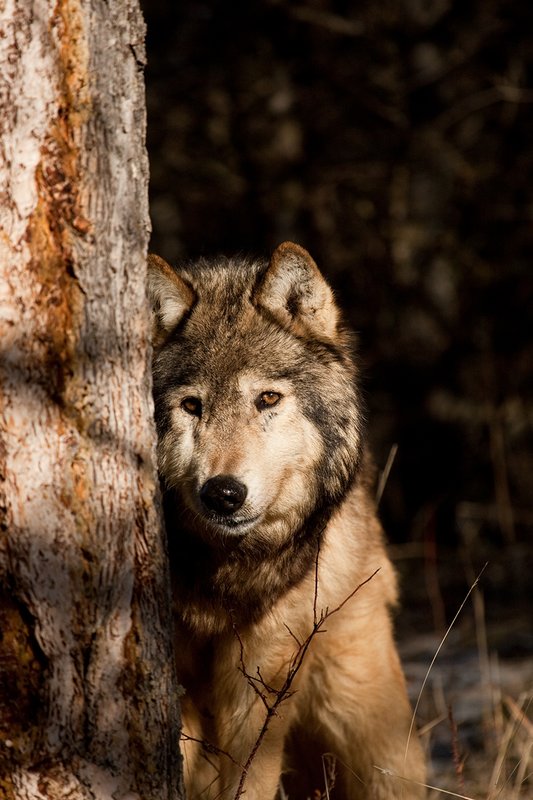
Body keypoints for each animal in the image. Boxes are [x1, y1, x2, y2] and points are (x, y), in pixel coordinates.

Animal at [148, 242, 426, 800]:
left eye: (268, 399)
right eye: (192, 406)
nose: (223, 494)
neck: (230, 576)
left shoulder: (262, 685)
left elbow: (250, 779)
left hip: (368, 725)